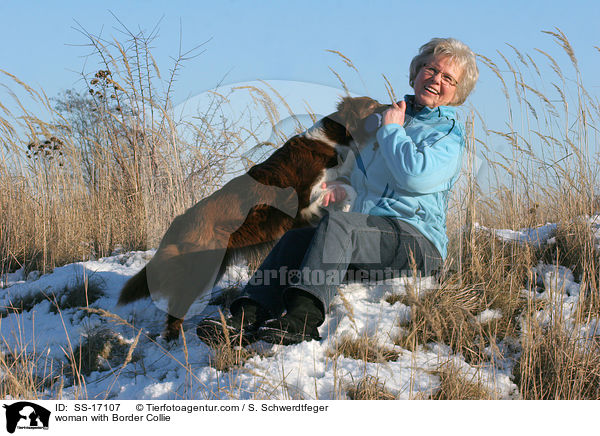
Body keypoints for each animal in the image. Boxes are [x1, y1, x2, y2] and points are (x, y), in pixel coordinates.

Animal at [118, 96, 390, 340]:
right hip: (203, 268)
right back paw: (176, 339)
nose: (392, 105)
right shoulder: (304, 197)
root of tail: (179, 221)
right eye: (372, 104)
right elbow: (344, 189)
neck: (336, 141)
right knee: (177, 306)